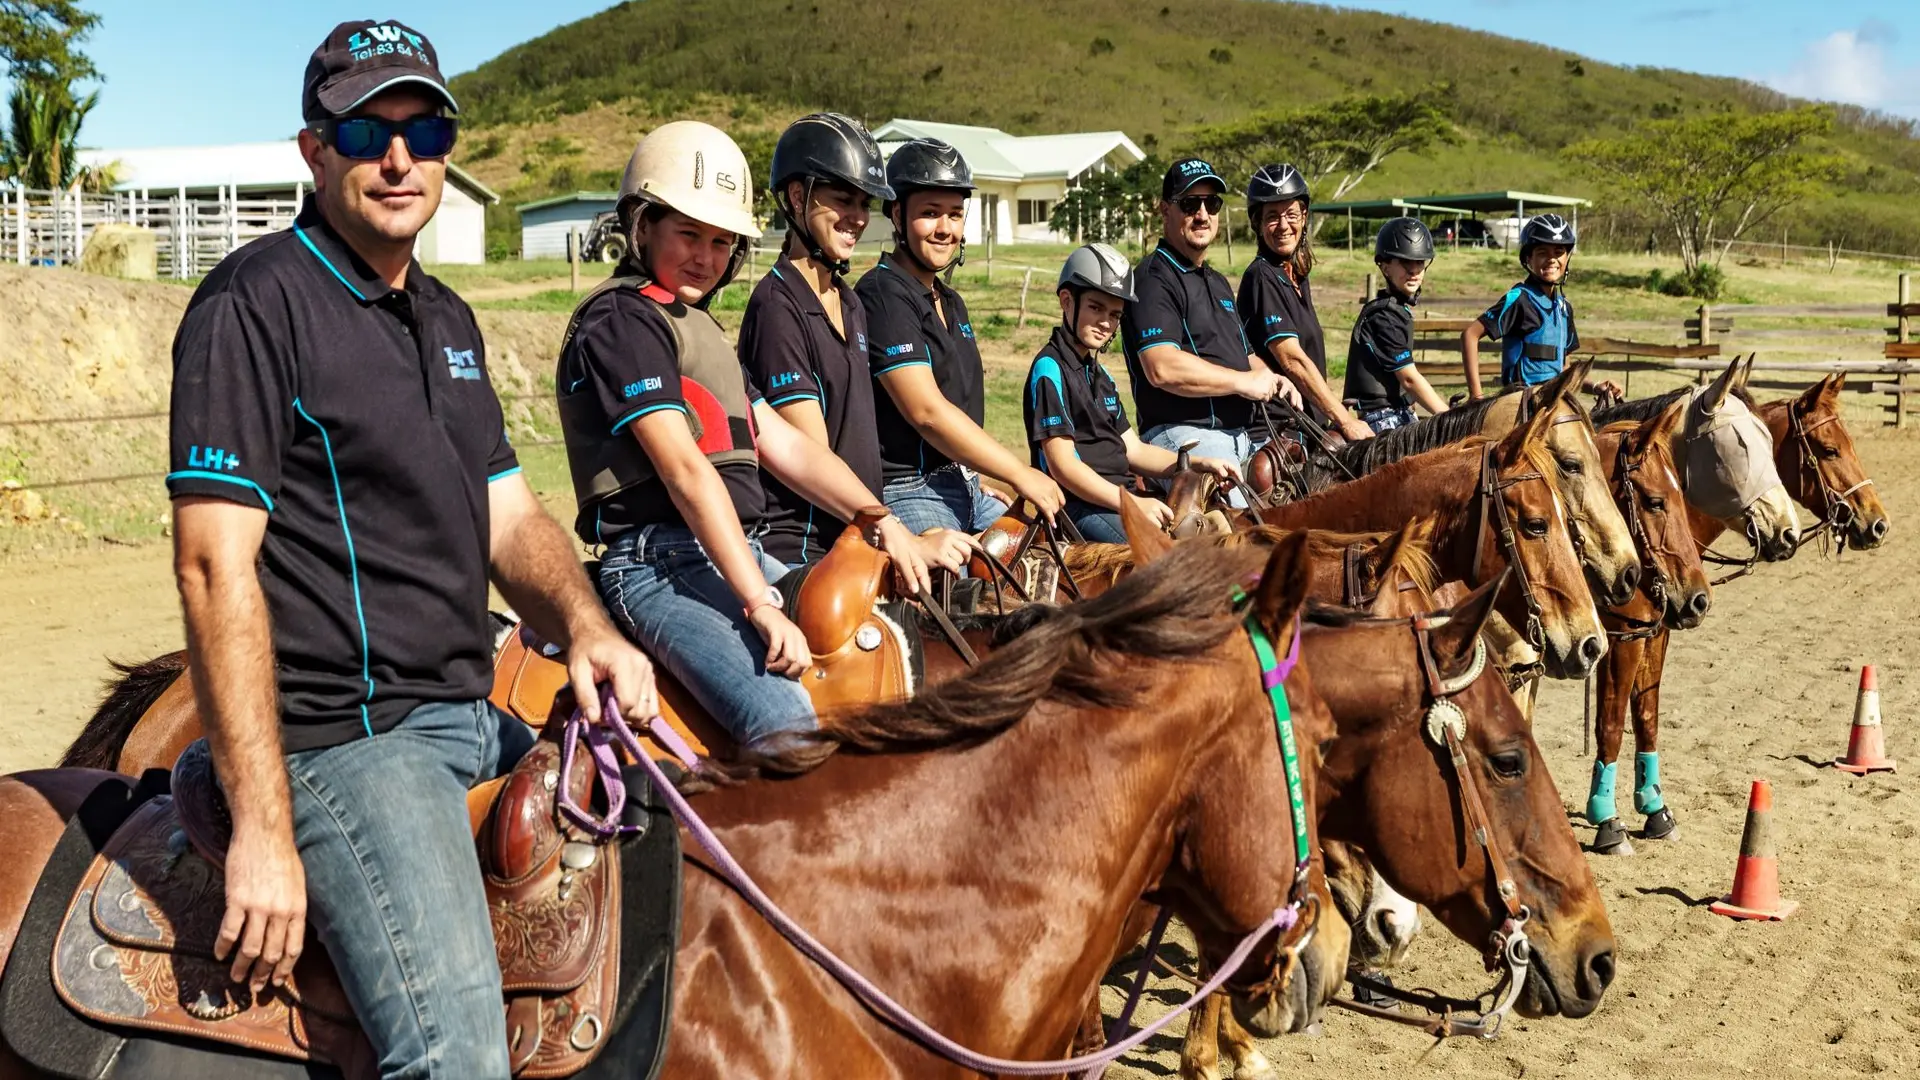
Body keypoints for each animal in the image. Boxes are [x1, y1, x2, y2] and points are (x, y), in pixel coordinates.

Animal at [1574, 368, 1889, 849]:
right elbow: (1610, 722)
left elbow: (1646, 713)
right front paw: (1608, 822)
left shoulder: (1655, 631)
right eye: (1829, 449)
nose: (1877, 523)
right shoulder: (1624, 636)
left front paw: (1655, 809)